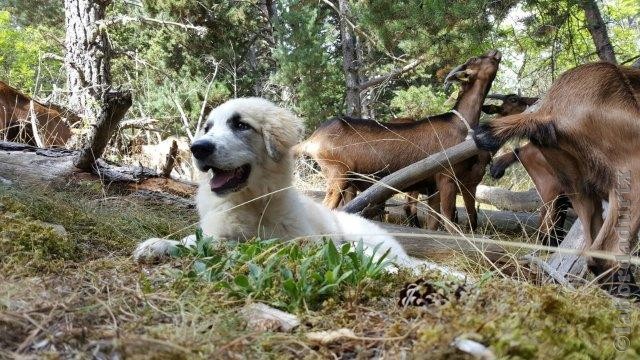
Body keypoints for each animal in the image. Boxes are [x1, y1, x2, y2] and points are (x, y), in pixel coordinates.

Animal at [134, 97, 464, 278]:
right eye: (208, 128)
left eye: (240, 125)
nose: (198, 148)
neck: (251, 201)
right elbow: (200, 239)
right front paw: (158, 244)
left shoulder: (300, 242)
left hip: (369, 241)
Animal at [296, 50, 500, 231]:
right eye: (474, 59)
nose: (496, 52)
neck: (459, 124)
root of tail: (312, 139)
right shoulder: (447, 178)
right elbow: (450, 222)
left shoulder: (434, 187)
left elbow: (434, 224)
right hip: (337, 173)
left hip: (348, 183)